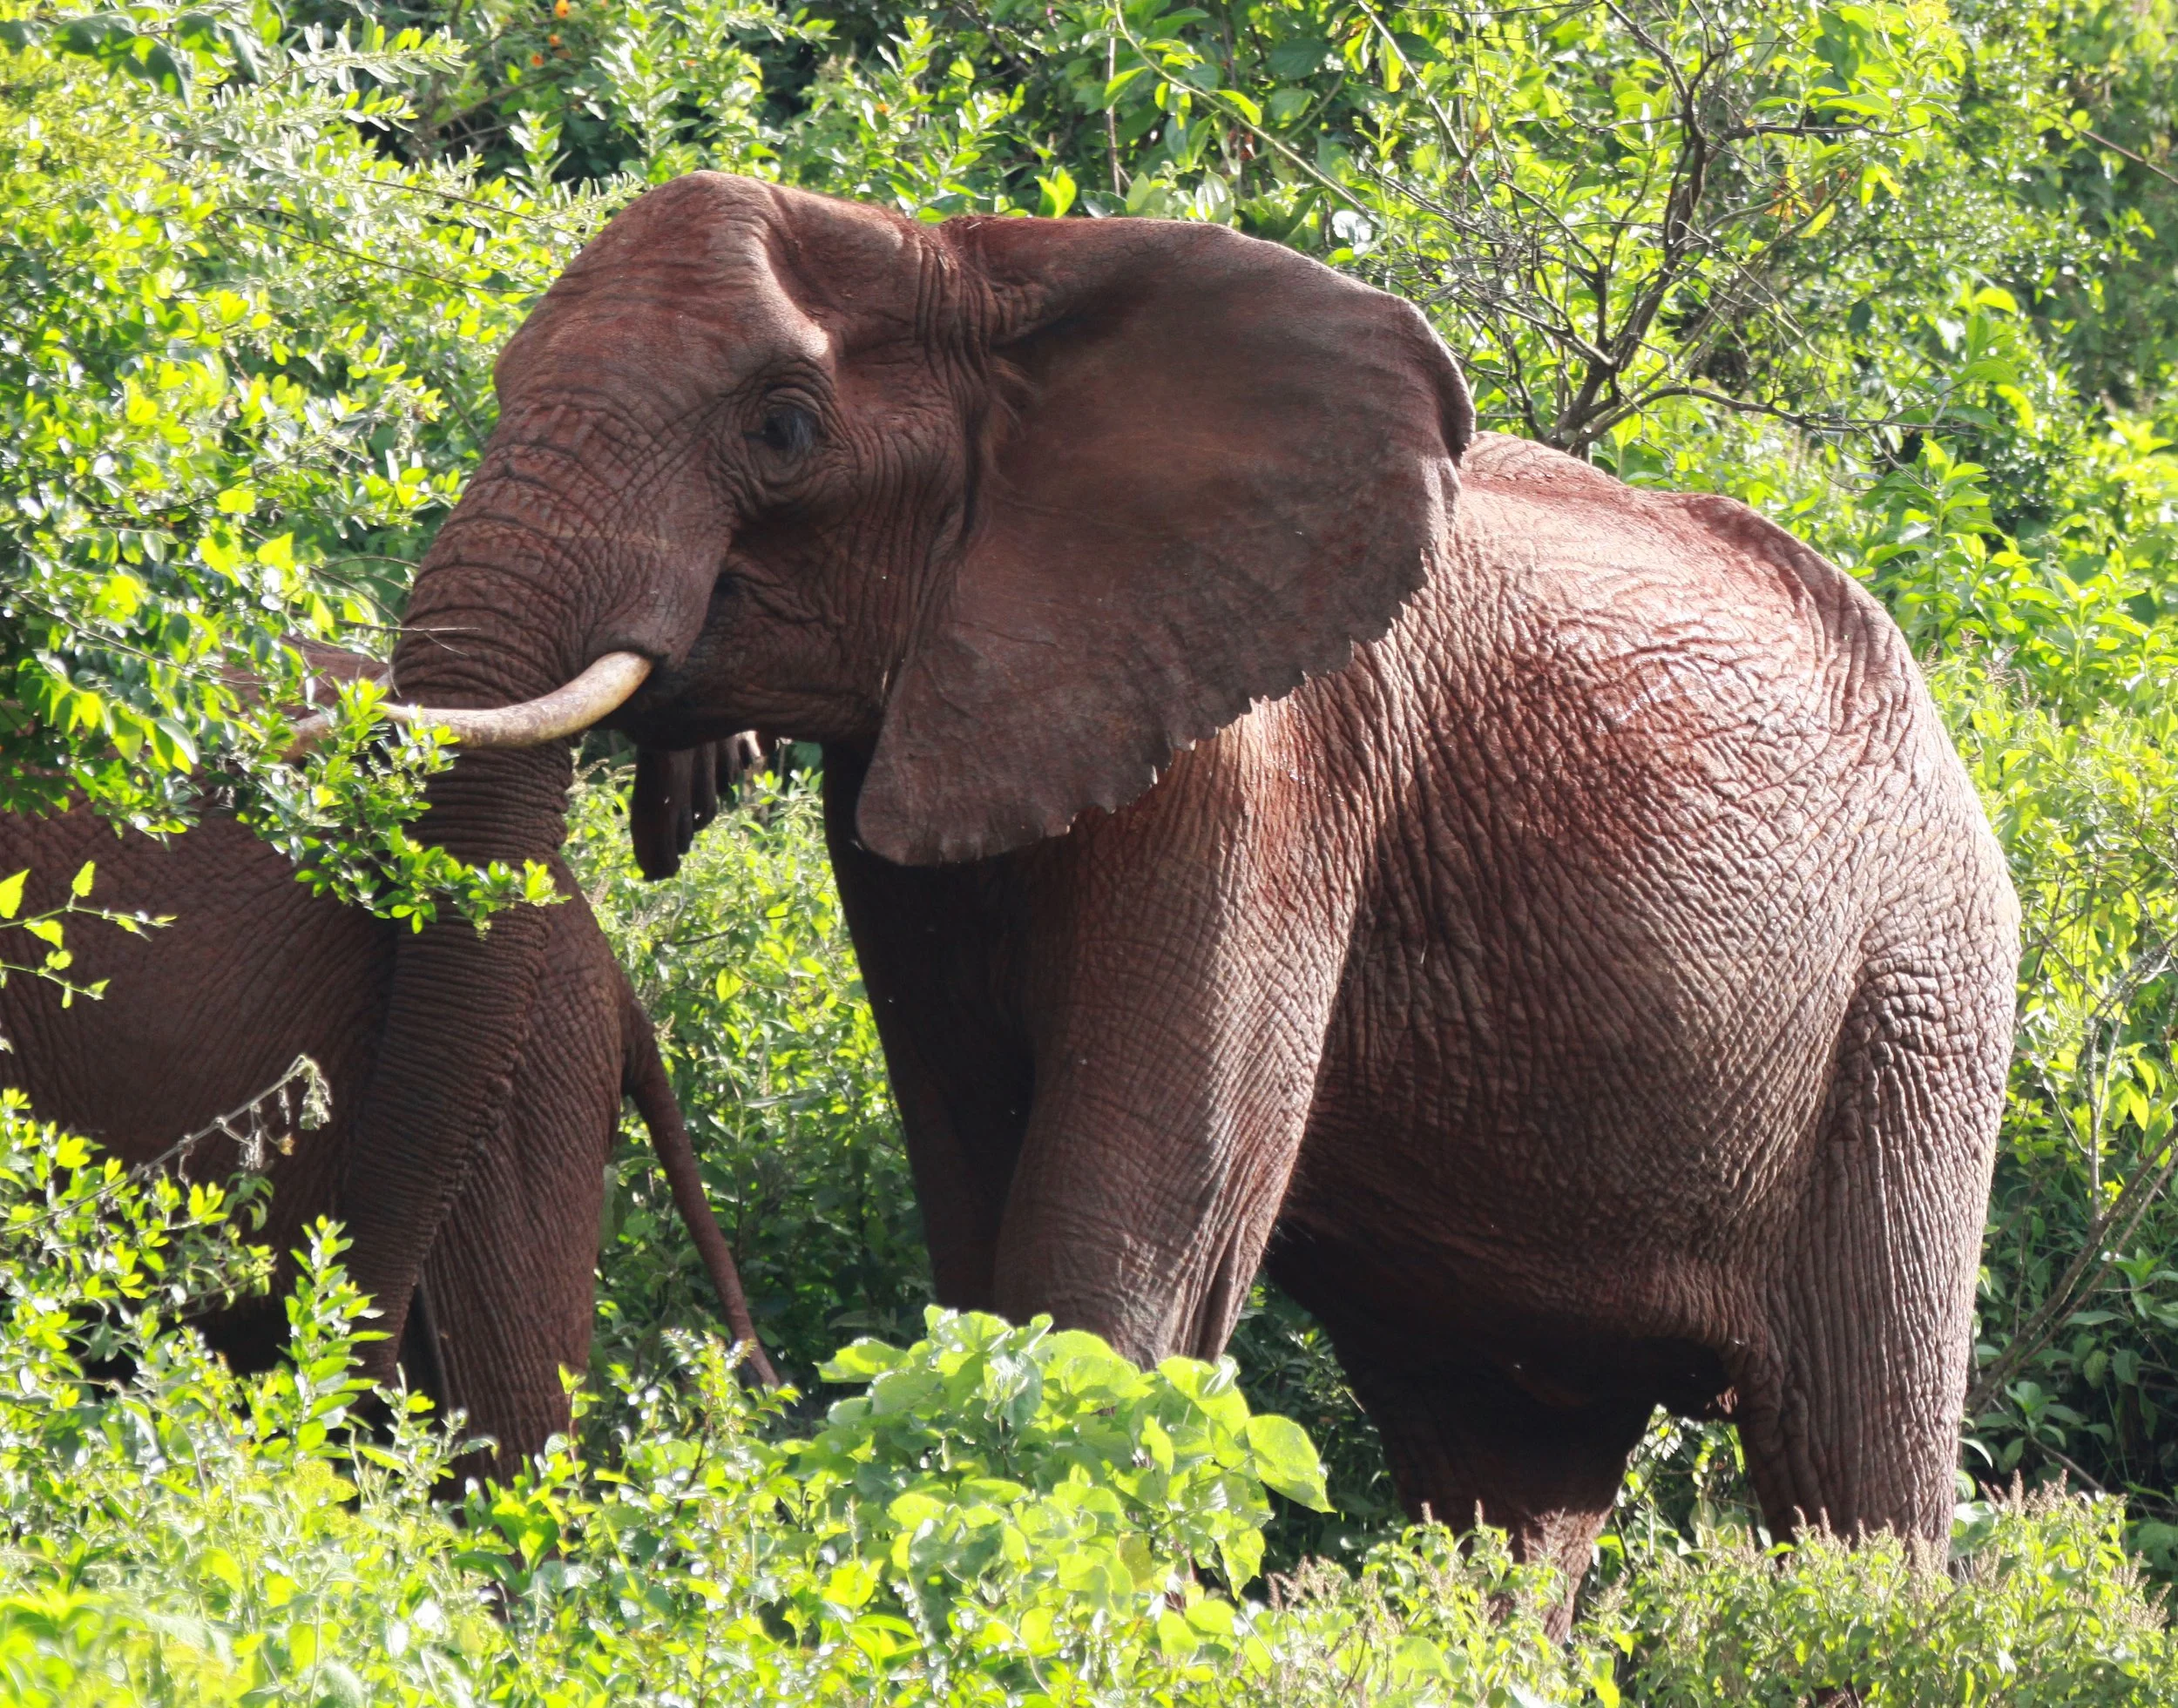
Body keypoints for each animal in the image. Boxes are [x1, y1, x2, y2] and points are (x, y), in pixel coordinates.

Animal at [340, 172, 2019, 1618]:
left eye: (786, 427)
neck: (982, 272)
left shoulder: (1264, 770)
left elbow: (1145, 1187)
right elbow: (974, 1170)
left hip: (1918, 1012)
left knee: (1851, 1473)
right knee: (1506, 1476)